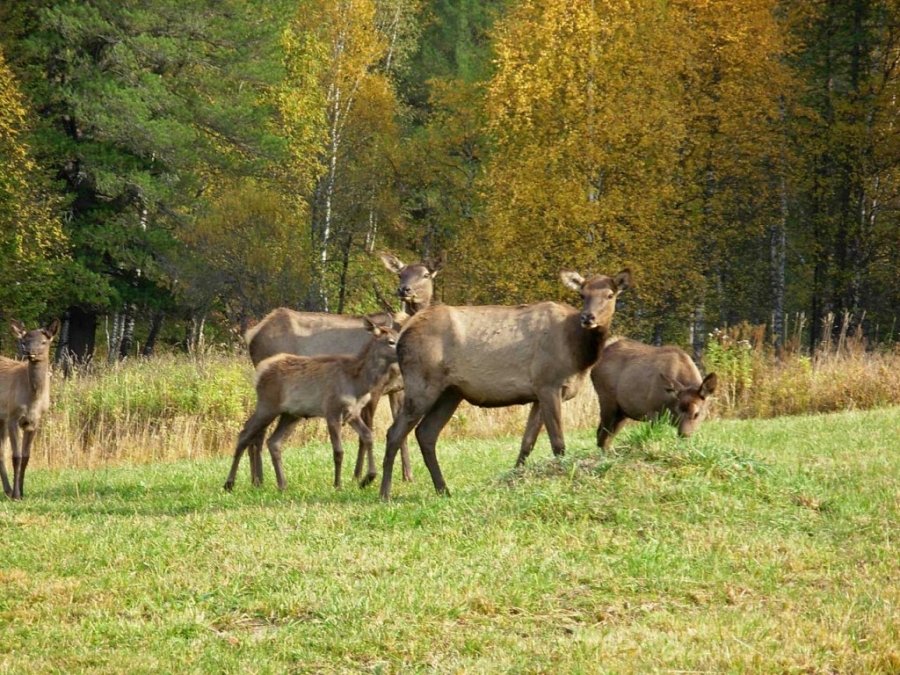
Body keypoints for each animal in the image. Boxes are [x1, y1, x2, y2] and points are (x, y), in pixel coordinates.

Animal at [0, 320, 59, 500]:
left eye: (44, 341)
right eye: (25, 341)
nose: (30, 352)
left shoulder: (34, 422)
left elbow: (26, 457)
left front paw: (21, 492)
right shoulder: (12, 416)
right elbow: (16, 457)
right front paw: (16, 495)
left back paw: (7, 490)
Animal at [241, 251, 442, 488]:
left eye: (426, 274)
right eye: (401, 274)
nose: (404, 290)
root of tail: (251, 334)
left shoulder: (397, 388)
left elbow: (400, 429)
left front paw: (407, 476)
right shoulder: (374, 389)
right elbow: (369, 430)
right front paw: (359, 475)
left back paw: (258, 479)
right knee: (258, 430)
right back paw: (258, 480)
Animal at [380, 266, 632, 500]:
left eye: (610, 295)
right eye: (582, 294)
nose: (588, 318)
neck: (579, 355)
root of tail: (403, 333)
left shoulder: (538, 393)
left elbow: (527, 442)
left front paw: (516, 479)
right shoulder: (548, 383)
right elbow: (558, 443)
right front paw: (563, 478)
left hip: (451, 392)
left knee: (426, 433)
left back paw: (443, 490)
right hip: (421, 382)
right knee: (394, 432)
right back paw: (385, 493)